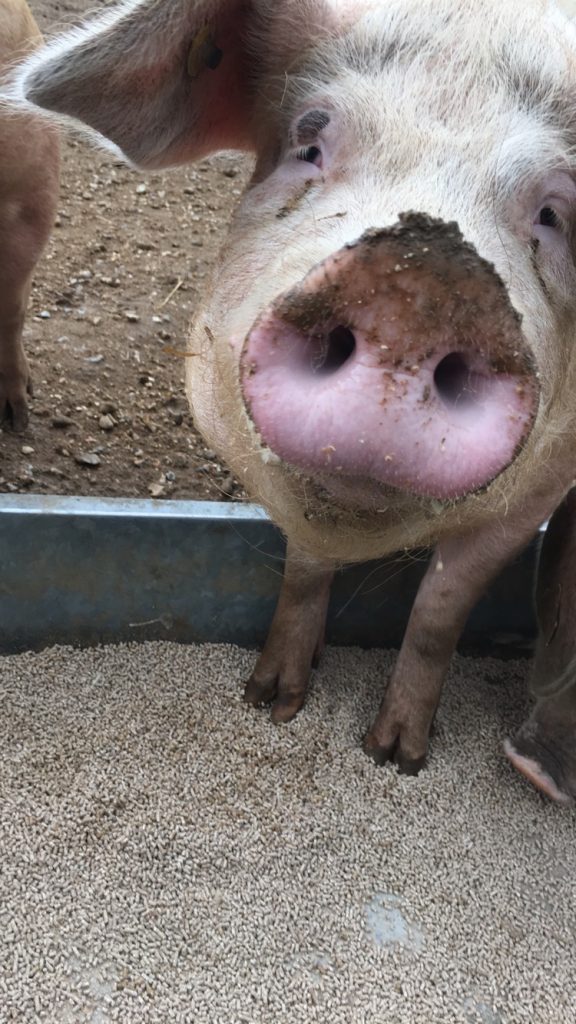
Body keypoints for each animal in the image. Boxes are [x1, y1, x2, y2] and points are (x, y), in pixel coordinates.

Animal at [7, 0, 573, 798]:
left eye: (554, 214)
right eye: (309, 140)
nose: (423, 281)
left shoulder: (542, 490)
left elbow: (442, 607)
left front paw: (395, 758)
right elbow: (304, 568)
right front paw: (272, 701)